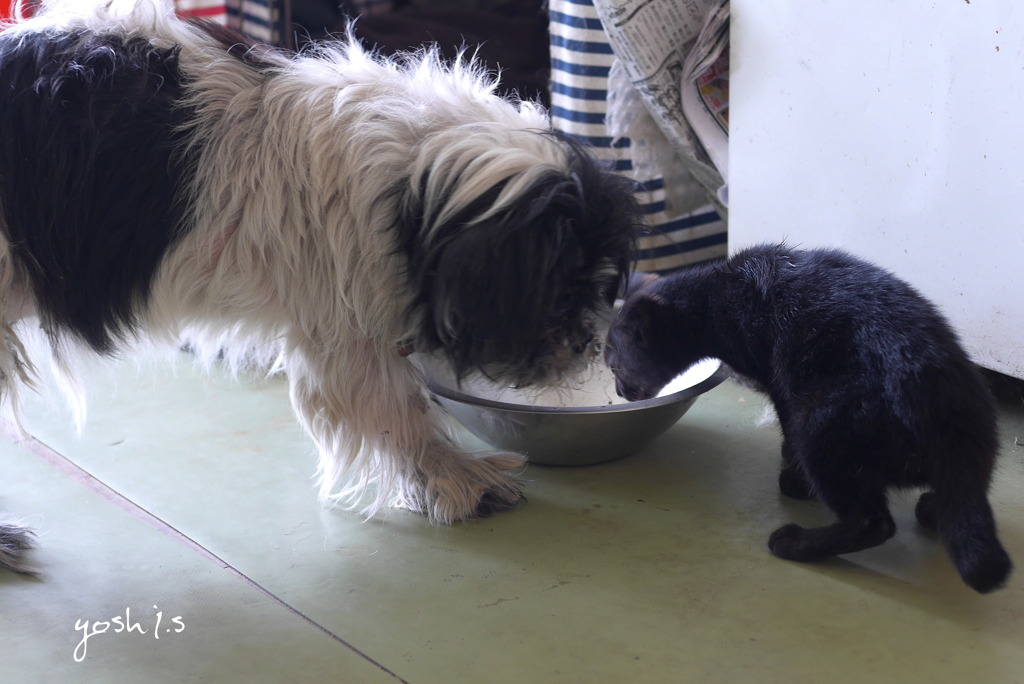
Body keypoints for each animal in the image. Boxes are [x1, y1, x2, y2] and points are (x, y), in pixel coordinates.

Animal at [0, 2, 638, 573]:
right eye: (555, 295)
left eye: (595, 285)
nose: (585, 344)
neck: (410, 184)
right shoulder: (345, 327)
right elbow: (398, 409)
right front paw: (456, 477)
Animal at [602, 245, 1011, 593]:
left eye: (615, 366)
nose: (619, 392)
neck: (719, 295)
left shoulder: (781, 386)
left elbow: (786, 431)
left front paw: (794, 473)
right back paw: (933, 509)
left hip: (819, 424)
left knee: (873, 522)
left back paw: (796, 540)